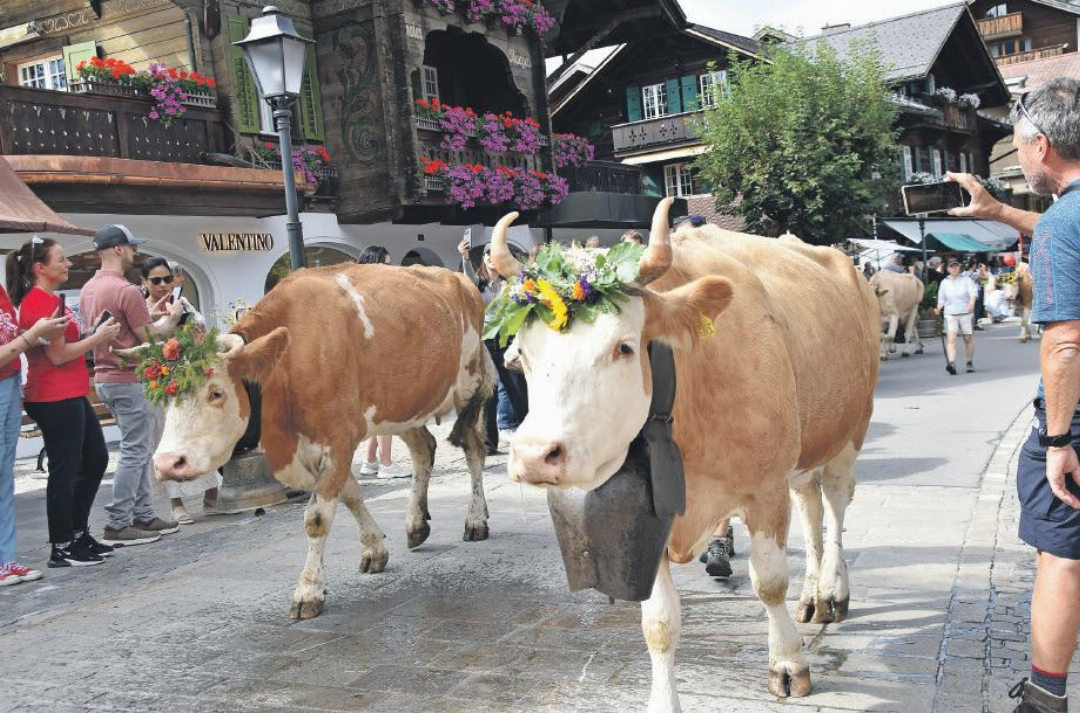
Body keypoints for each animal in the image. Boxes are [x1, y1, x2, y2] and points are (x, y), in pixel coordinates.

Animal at [127, 264, 495, 619]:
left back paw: (476, 519)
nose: (167, 463)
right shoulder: (323, 446)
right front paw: (374, 548)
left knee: (474, 450)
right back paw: (416, 524)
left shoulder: (339, 437)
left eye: (216, 392)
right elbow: (351, 495)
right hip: (403, 403)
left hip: (468, 385)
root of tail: (461, 280)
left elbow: (317, 517)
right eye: (162, 398)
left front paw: (308, 591)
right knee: (423, 450)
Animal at [491, 199, 879, 710]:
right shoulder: (652, 514)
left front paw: (788, 664)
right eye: (522, 354)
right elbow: (658, 622)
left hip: (852, 426)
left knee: (835, 502)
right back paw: (813, 597)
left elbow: (769, 583)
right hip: (803, 445)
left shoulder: (764, 490)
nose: (535, 455)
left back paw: (833, 592)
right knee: (811, 506)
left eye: (624, 346)